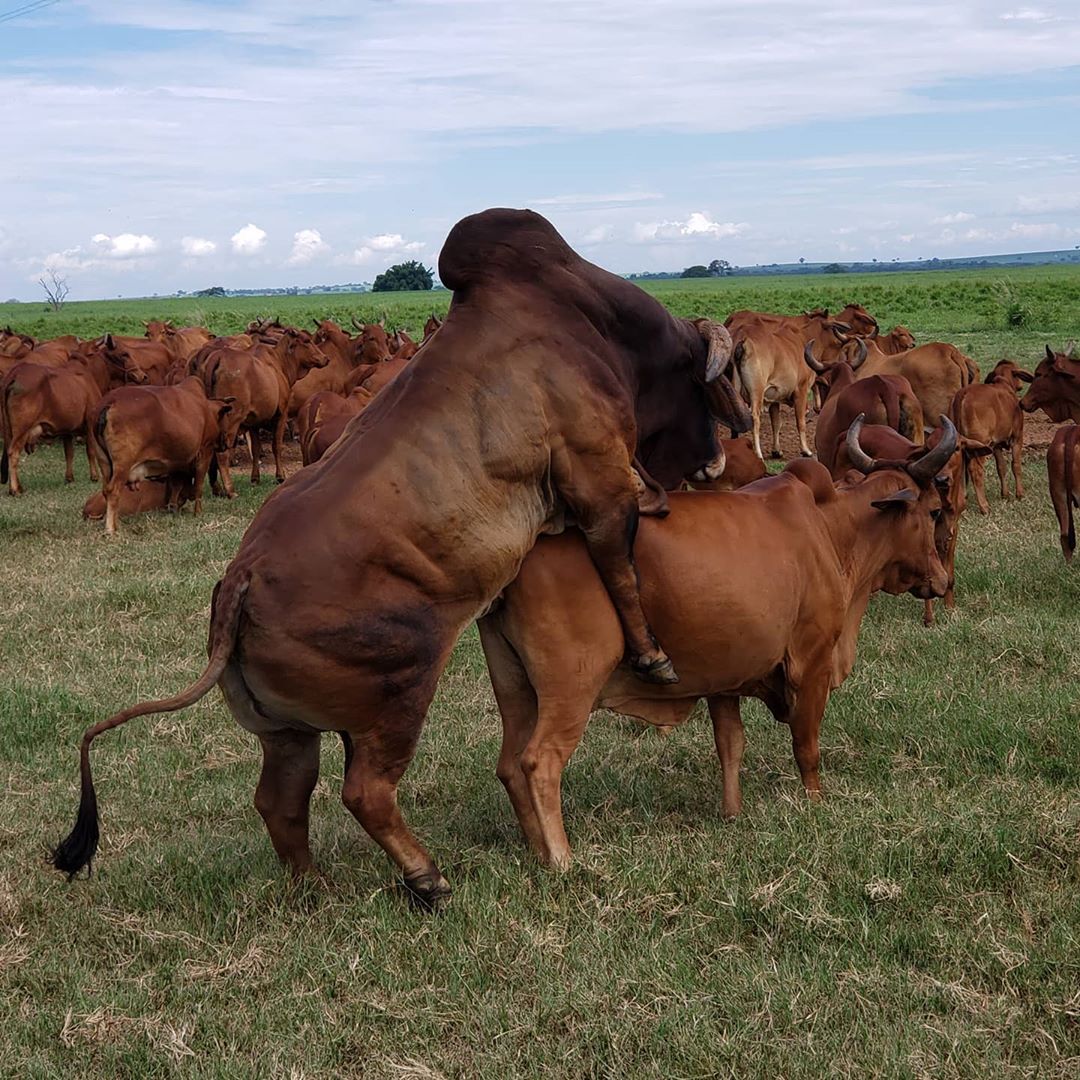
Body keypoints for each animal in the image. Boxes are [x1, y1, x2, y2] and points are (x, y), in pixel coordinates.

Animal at [90, 375, 234, 535]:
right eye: (227, 418)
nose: (228, 443)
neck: (207, 411)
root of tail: (109, 402)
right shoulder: (205, 452)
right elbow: (198, 487)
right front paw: (198, 512)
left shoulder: (178, 463)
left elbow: (177, 486)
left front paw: (173, 508)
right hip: (123, 464)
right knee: (113, 491)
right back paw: (110, 528)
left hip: (105, 462)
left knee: (106, 490)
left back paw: (116, 524)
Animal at [477, 416, 959, 864]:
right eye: (934, 510)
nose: (942, 580)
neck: (831, 527)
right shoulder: (812, 664)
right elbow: (806, 747)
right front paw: (815, 803)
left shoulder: (724, 680)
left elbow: (731, 746)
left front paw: (732, 813)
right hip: (571, 687)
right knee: (539, 762)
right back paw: (560, 859)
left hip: (515, 687)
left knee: (508, 766)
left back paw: (535, 849)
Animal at [954, 360, 1028, 511]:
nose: (1021, 385)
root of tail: (964, 394)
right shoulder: (1017, 438)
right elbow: (1016, 465)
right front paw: (1020, 494)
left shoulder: (996, 445)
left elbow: (1001, 467)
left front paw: (1005, 494)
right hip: (979, 444)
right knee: (975, 471)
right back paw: (984, 506)